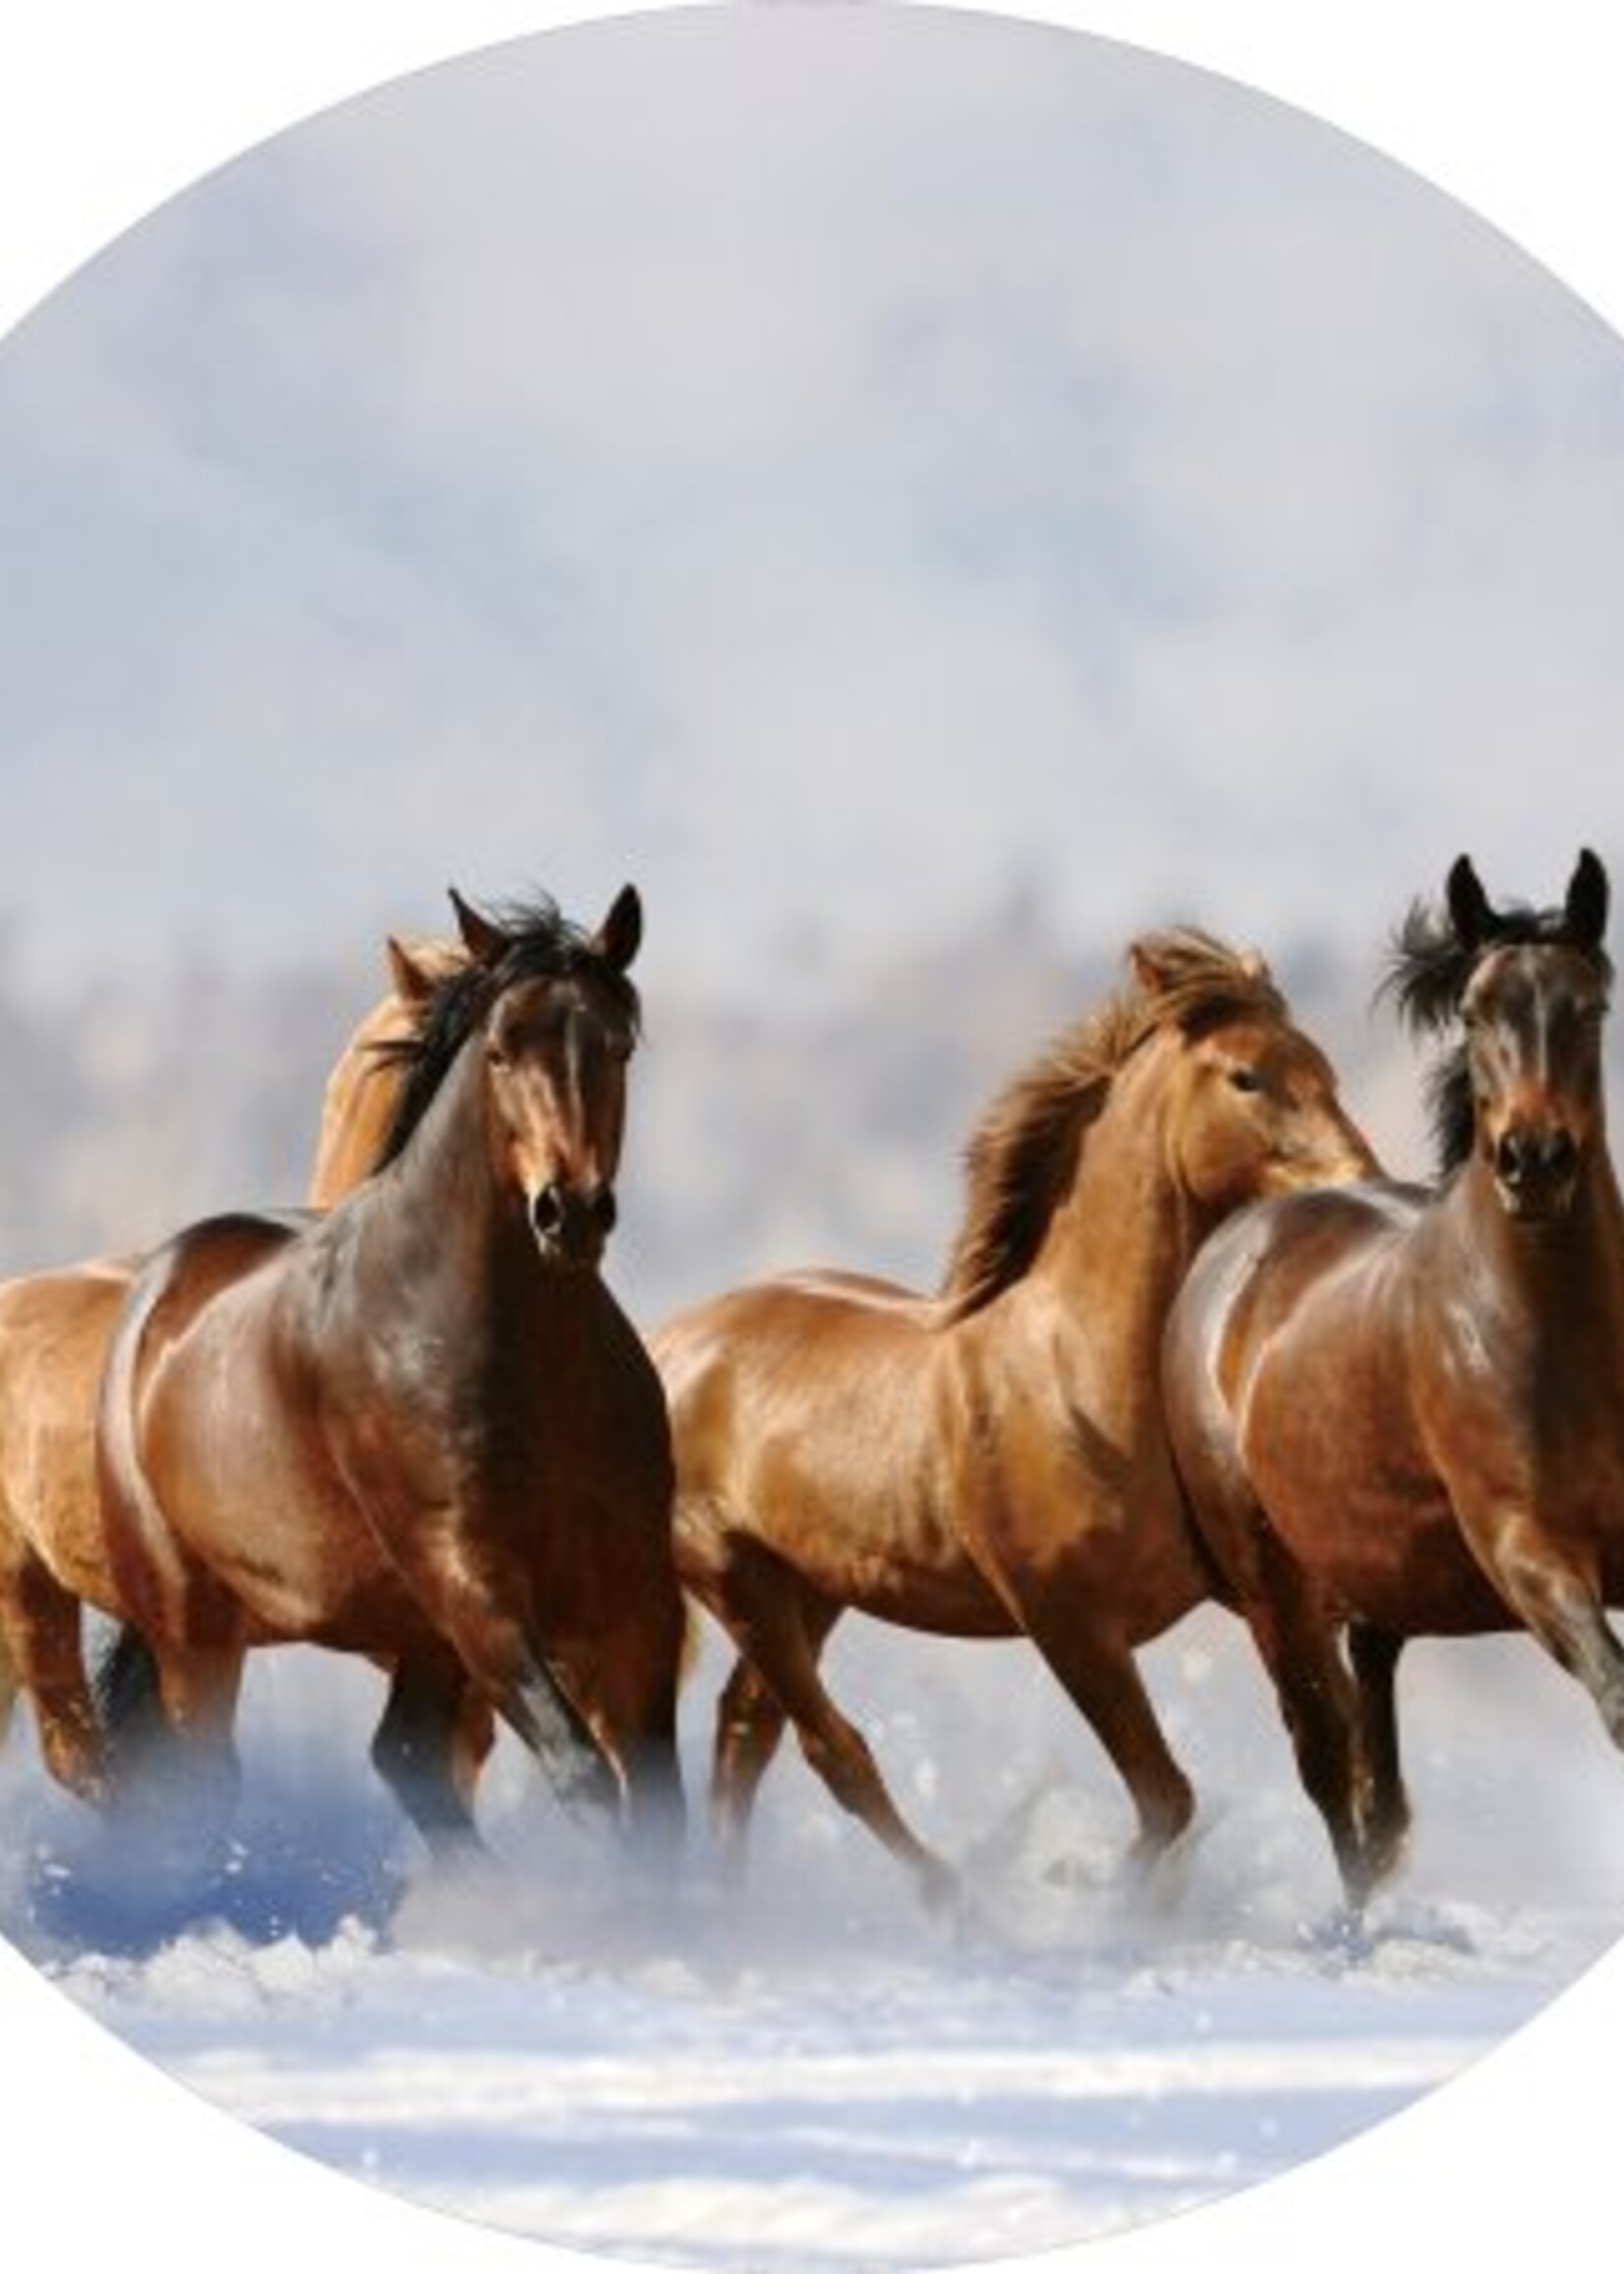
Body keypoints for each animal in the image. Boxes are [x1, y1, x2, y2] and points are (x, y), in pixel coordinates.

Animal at [653, 930, 1377, 1909]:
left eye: (1324, 1066)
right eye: (1246, 1077)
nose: (1363, 1183)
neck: (1080, 1378)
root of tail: (664, 1345)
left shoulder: (1265, 1591)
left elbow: (1327, 1750)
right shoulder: (1068, 1623)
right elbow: (1168, 1799)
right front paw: (1102, 1903)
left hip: (811, 1584)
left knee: (744, 1734)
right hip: (735, 1577)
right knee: (829, 1748)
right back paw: (955, 1901)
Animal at [1161, 850, 1624, 1909]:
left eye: (1589, 1005)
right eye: (1478, 1009)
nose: (1534, 1161)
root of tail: (1238, 1242)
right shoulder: (1529, 1554)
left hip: (1374, 1576)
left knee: (1371, 1742)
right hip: (1273, 1589)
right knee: (1326, 1761)